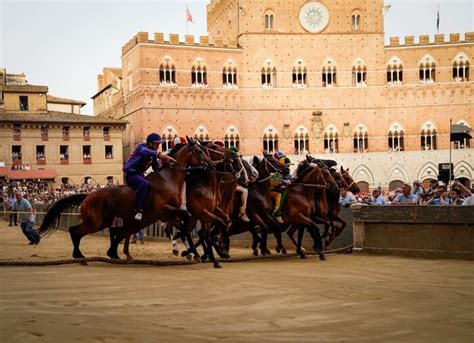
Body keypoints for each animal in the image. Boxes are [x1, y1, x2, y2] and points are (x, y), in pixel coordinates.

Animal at [38, 141, 214, 262]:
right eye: (199, 151)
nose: (212, 165)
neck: (168, 179)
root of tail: (88, 195)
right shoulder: (165, 210)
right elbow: (184, 222)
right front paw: (189, 251)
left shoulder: (170, 214)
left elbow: (184, 229)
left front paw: (192, 253)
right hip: (95, 222)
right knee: (75, 231)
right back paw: (79, 254)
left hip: (104, 221)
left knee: (112, 231)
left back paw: (111, 254)